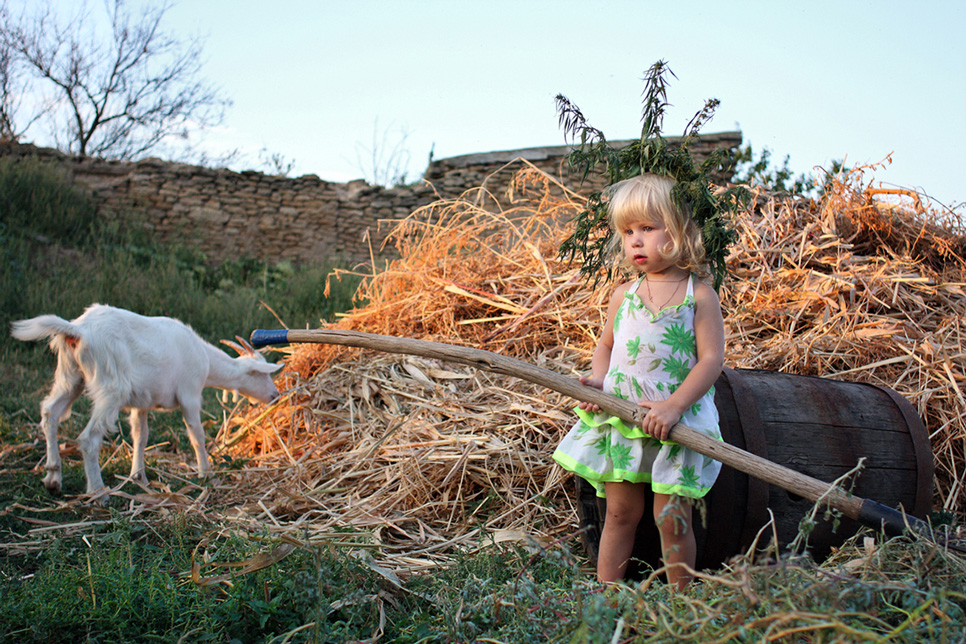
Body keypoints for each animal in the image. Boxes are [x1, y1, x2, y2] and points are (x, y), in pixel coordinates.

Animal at [12, 304, 284, 498]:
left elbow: (140, 436)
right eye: (264, 374)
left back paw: (53, 479)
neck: (205, 359)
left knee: (50, 412)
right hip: (111, 386)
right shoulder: (189, 393)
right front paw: (206, 473)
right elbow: (197, 435)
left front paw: (139, 477)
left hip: (70, 376)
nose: (276, 396)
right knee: (88, 438)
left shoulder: (140, 403)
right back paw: (98, 492)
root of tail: (79, 331)